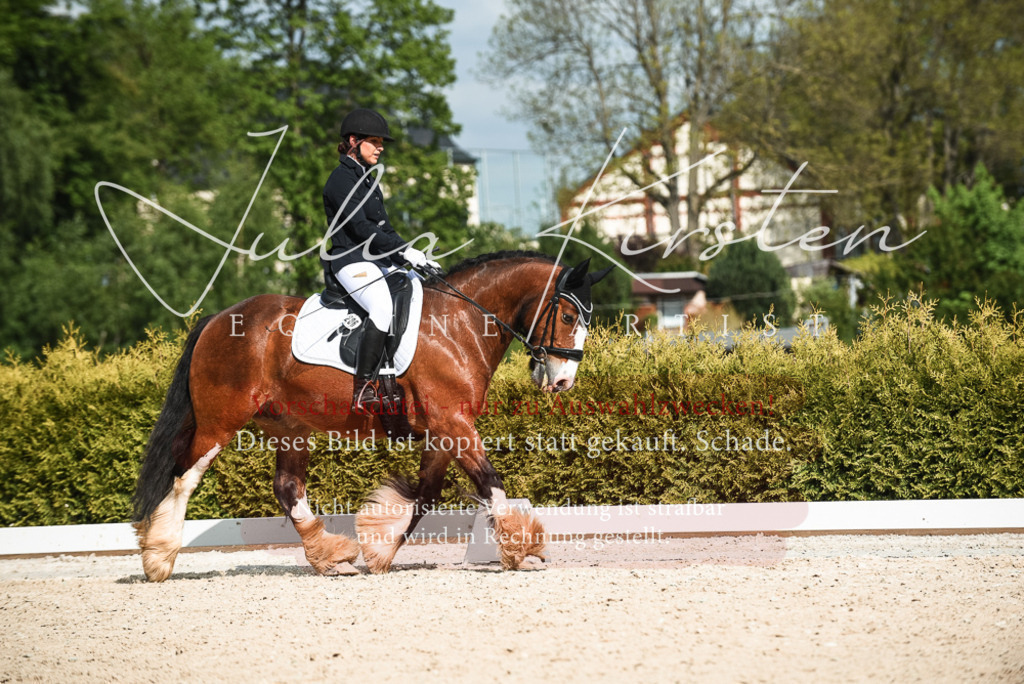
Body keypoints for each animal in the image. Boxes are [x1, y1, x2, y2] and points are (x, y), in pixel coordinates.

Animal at [131, 251, 612, 581]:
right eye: (569, 315)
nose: (563, 381)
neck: (459, 324)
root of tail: (219, 319)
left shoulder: (444, 430)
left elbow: (424, 496)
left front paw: (380, 547)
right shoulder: (453, 425)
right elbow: (490, 482)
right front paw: (519, 549)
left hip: (289, 427)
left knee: (287, 488)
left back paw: (331, 559)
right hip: (220, 422)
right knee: (183, 477)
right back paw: (159, 558)